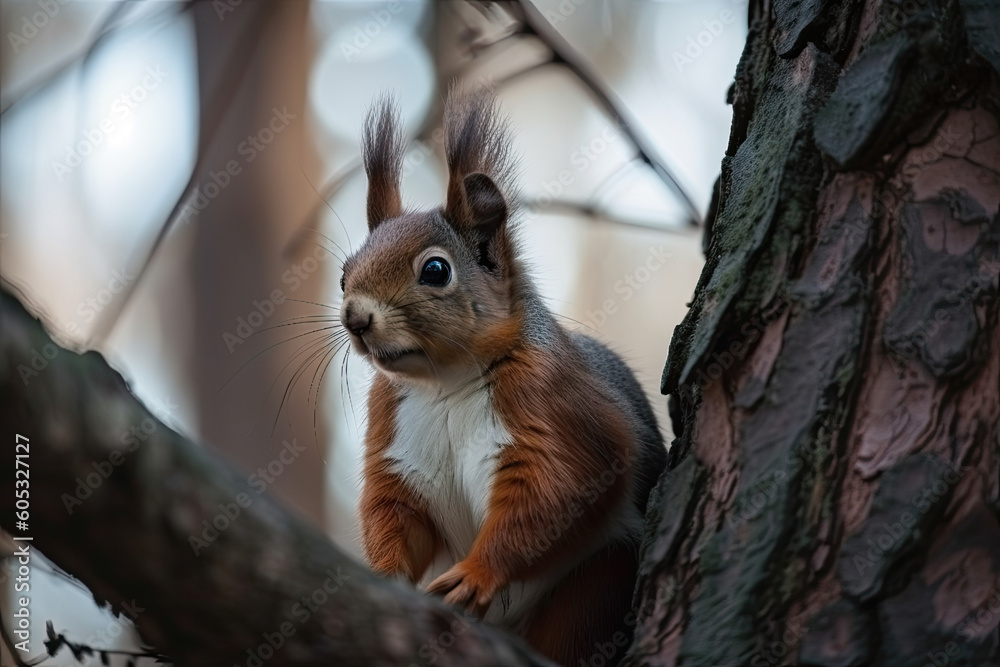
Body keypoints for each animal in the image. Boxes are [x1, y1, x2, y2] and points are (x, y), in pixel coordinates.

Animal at [340, 88, 666, 666]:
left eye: (436, 270)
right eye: (343, 273)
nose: (355, 318)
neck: (443, 384)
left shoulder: (557, 406)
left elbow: (553, 493)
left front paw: (475, 574)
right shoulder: (393, 440)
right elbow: (394, 512)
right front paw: (383, 575)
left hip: (597, 584)